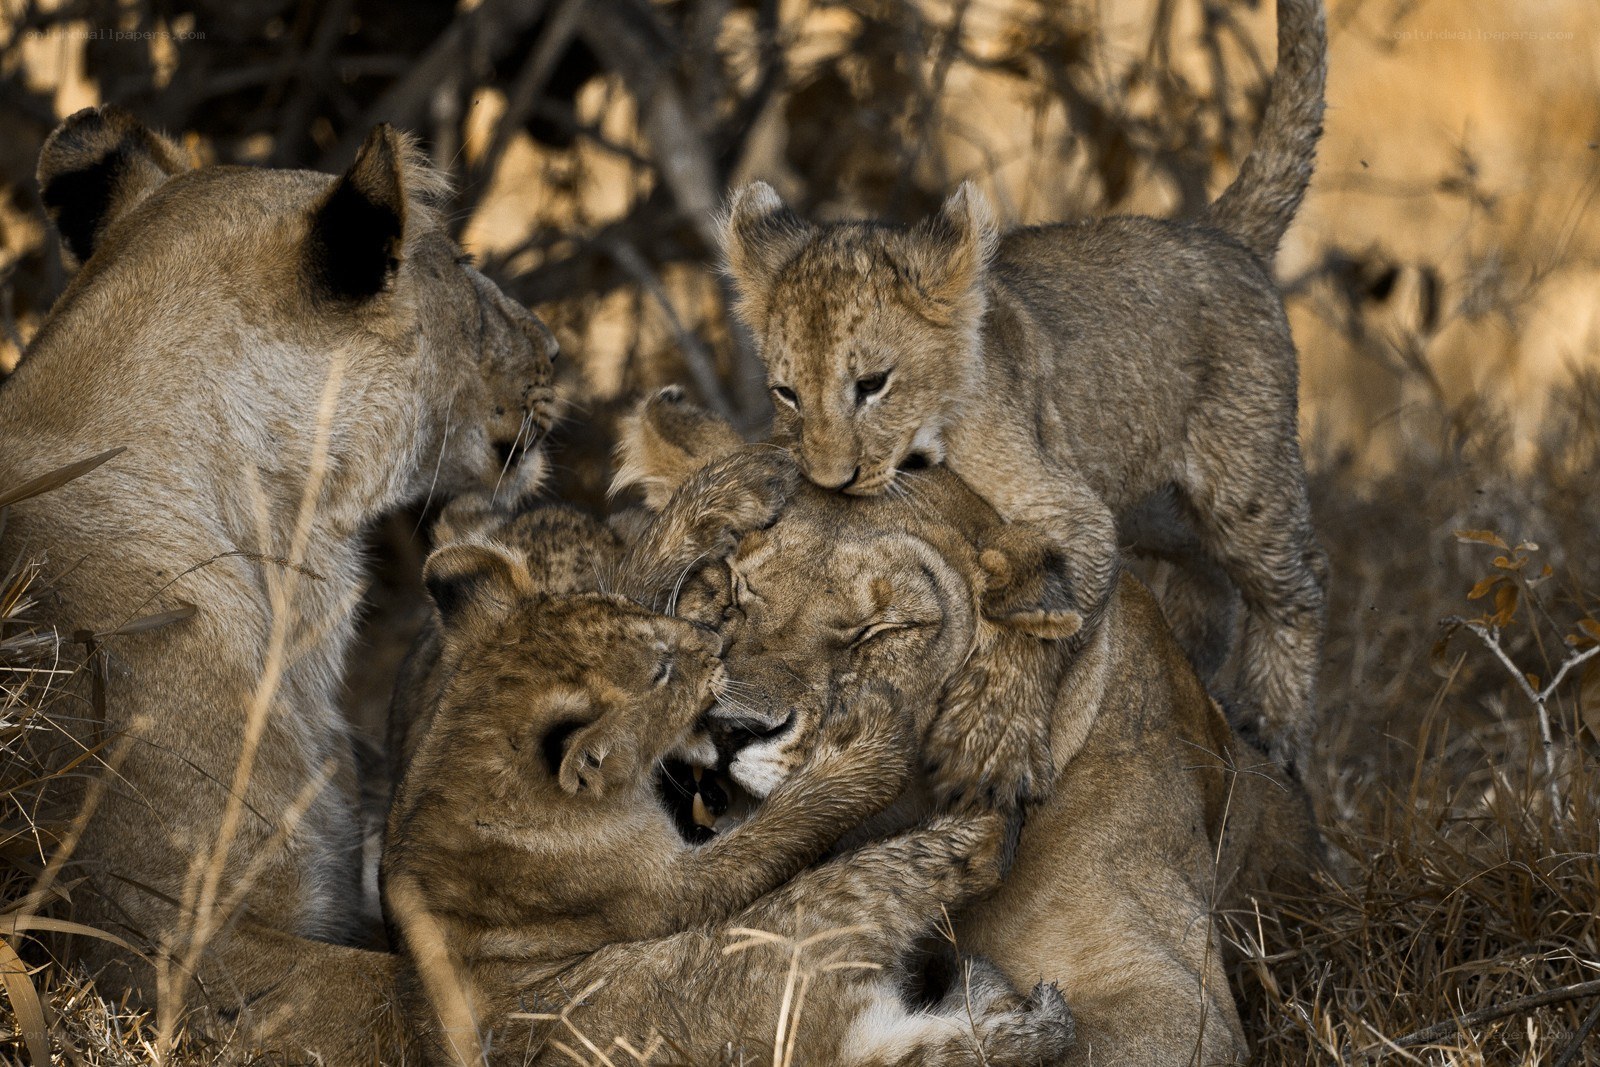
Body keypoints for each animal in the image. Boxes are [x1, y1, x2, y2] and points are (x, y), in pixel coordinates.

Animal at [384, 537, 1074, 1065]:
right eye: (661, 670)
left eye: (626, 605)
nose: (714, 644)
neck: (464, 755)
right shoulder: (663, 891)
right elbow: (782, 825)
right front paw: (866, 748)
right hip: (786, 935)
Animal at [718, 0, 1330, 775]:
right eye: (787, 393)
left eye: (873, 384)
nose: (831, 480)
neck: (928, 434)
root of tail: (1216, 234)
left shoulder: (1075, 511)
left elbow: (1046, 628)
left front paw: (989, 730)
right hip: (1145, 497)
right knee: (1208, 573)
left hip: (1242, 481)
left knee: (1298, 583)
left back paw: (1273, 727)